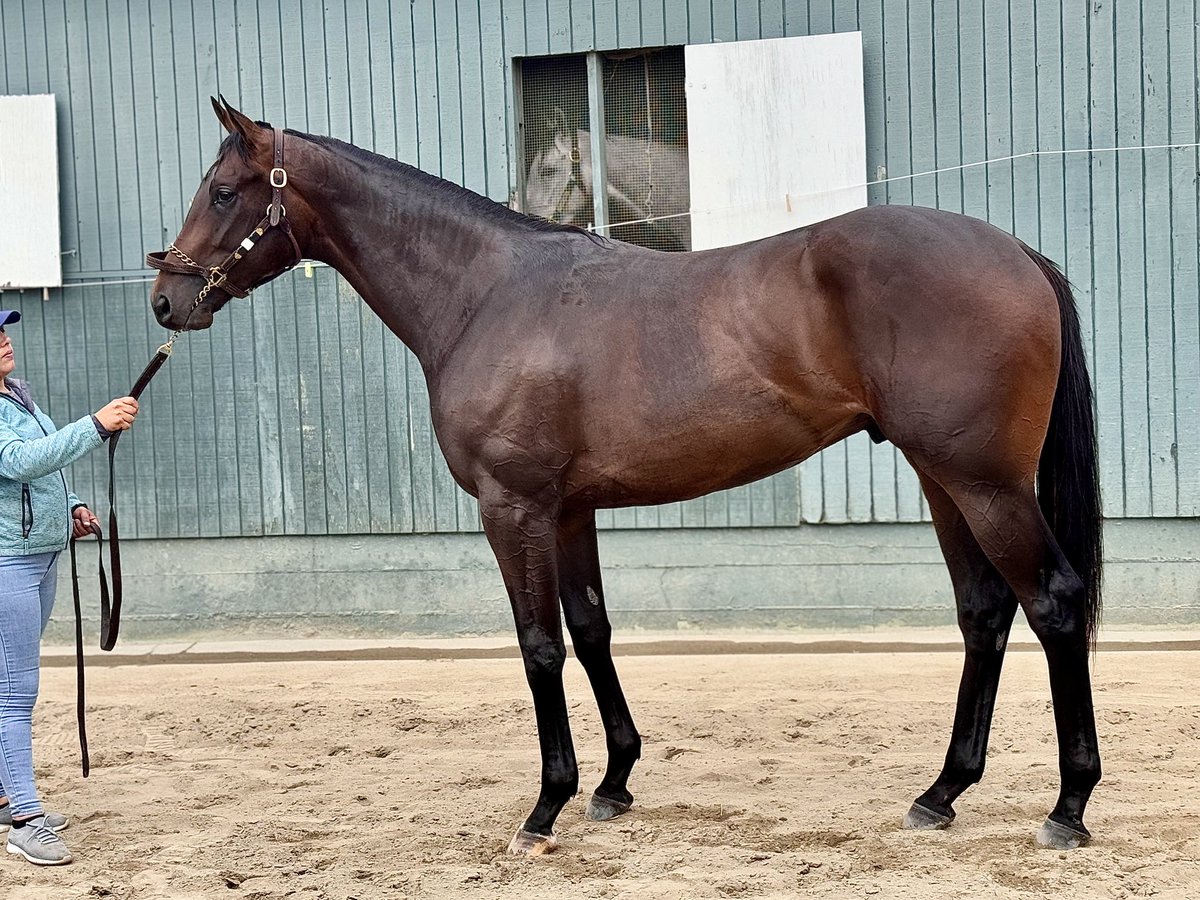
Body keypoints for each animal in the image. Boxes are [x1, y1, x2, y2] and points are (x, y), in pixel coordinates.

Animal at [150, 100, 1104, 859]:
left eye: (225, 191)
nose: (165, 301)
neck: (487, 292)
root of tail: (1016, 253)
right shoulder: (569, 511)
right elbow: (592, 631)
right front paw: (614, 783)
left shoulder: (514, 509)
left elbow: (539, 645)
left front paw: (546, 807)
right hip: (947, 481)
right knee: (984, 612)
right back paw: (940, 794)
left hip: (985, 485)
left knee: (1053, 604)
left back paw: (1067, 807)